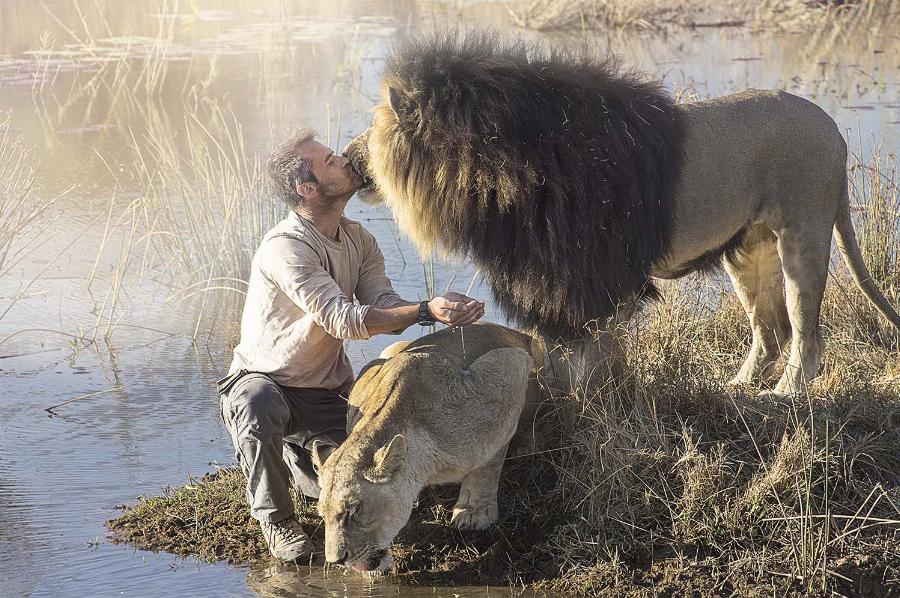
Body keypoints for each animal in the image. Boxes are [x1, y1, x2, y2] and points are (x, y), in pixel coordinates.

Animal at [344, 32, 900, 398]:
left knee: (806, 332)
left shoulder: (584, 276)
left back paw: (784, 394)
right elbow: (561, 346)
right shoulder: (551, 280)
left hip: (802, 234)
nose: (347, 156)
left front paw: (584, 399)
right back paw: (736, 387)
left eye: (370, 132)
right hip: (747, 250)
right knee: (770, 331)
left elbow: (587, 349)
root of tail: (835, 130)